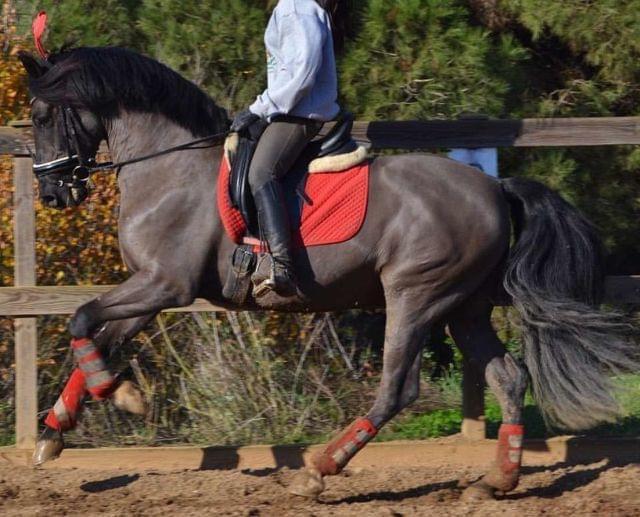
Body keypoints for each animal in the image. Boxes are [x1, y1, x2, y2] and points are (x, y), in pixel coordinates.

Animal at [17, 46, 639, 501]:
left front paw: (117, 396)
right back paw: (497, 481)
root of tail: (493, 186)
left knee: (397, 388)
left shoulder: (165, 284)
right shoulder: (151, 290)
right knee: (508, 380)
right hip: (464, 306)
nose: (52, 193)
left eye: (44, 116)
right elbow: (96, 334)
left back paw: (318, 470)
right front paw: (60, 430)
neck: (168, 166)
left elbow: (80, 319)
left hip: (415, 296)